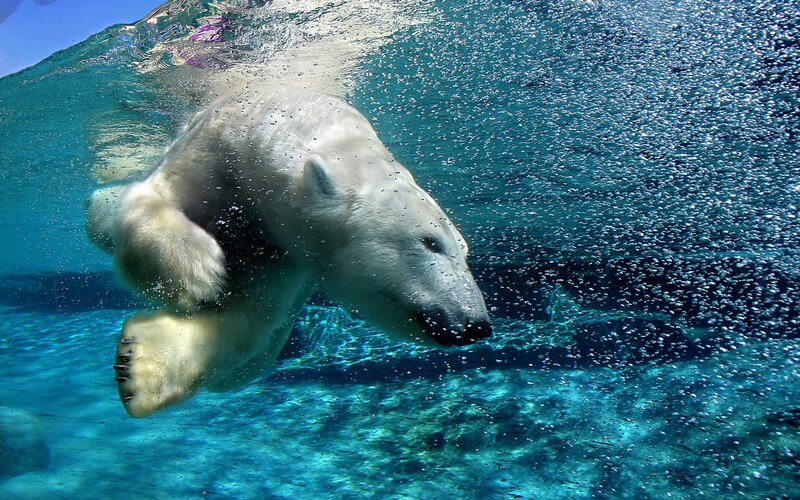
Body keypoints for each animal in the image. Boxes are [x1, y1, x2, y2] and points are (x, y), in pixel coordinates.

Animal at [87, 87, 492, 418]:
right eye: (430, 242)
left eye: (465, 251)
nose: (476, 324)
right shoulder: (213, 149)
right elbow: (153, 198)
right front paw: (199, 272)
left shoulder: (287, 255)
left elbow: (251, 317)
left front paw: (139, 365)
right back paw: (100, 203)